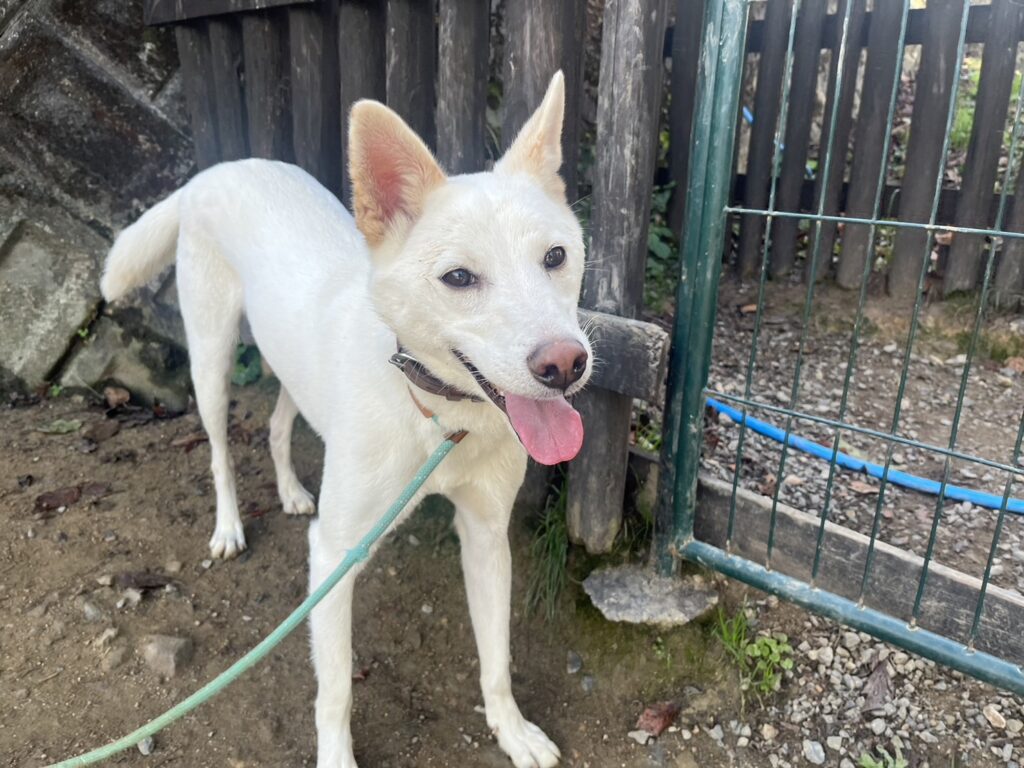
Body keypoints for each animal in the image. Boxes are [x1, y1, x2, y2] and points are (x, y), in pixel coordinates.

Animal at [100, 71, 590, 767]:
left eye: (555, 257)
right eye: (458, 277)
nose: (565, 364)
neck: (436, 417)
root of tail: (215, 170)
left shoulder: (486, 535)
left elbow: (496, 655)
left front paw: (512, 730)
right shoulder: (333, 555)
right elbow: (335, 688)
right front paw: (336, 754)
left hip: (290, 365)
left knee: (278, 423)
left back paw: (289, 490)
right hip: (211, 355)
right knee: (220, 449)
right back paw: (228, 526)